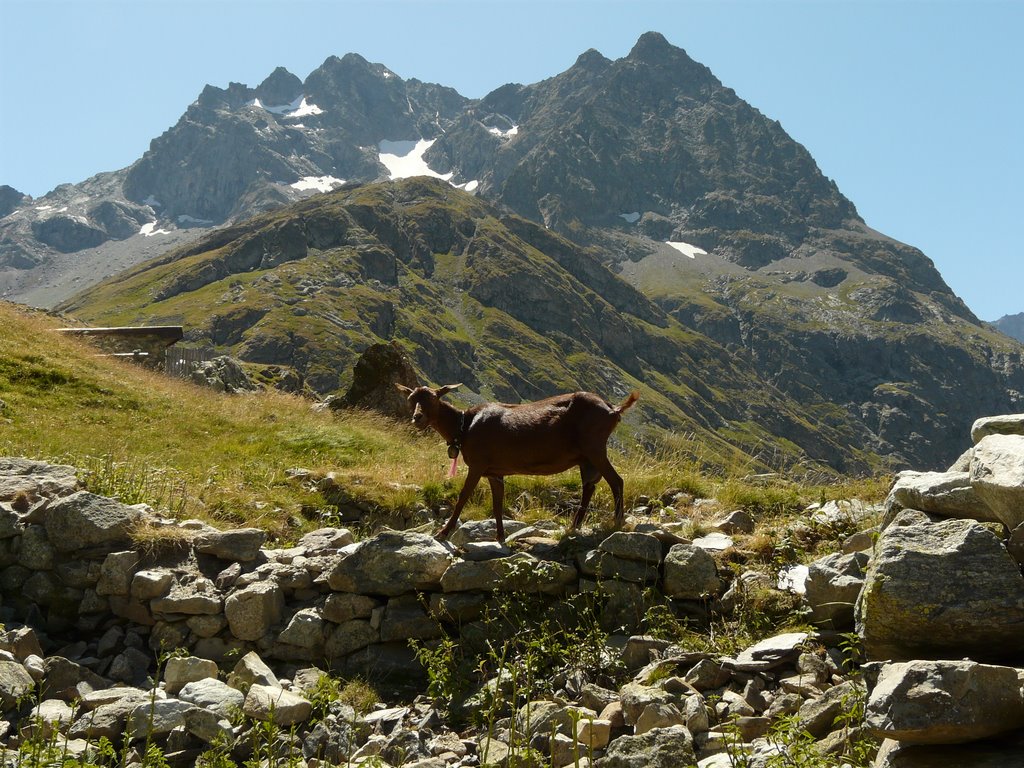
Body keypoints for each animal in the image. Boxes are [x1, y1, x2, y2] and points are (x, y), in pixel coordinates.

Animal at [393, 382, 638, 540]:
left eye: (434, 398)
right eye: (411, 399)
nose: (417, 418)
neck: (465, 425)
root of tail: (613, 410)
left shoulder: (478, 464)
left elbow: (463, 496)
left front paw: (443, 533)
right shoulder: (495, 472)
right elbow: (497, 504)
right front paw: (500, 537)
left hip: (594, 447)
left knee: (616, 481)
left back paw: (617, 522)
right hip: (586, 457)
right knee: (589, 486)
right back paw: (573, 527)